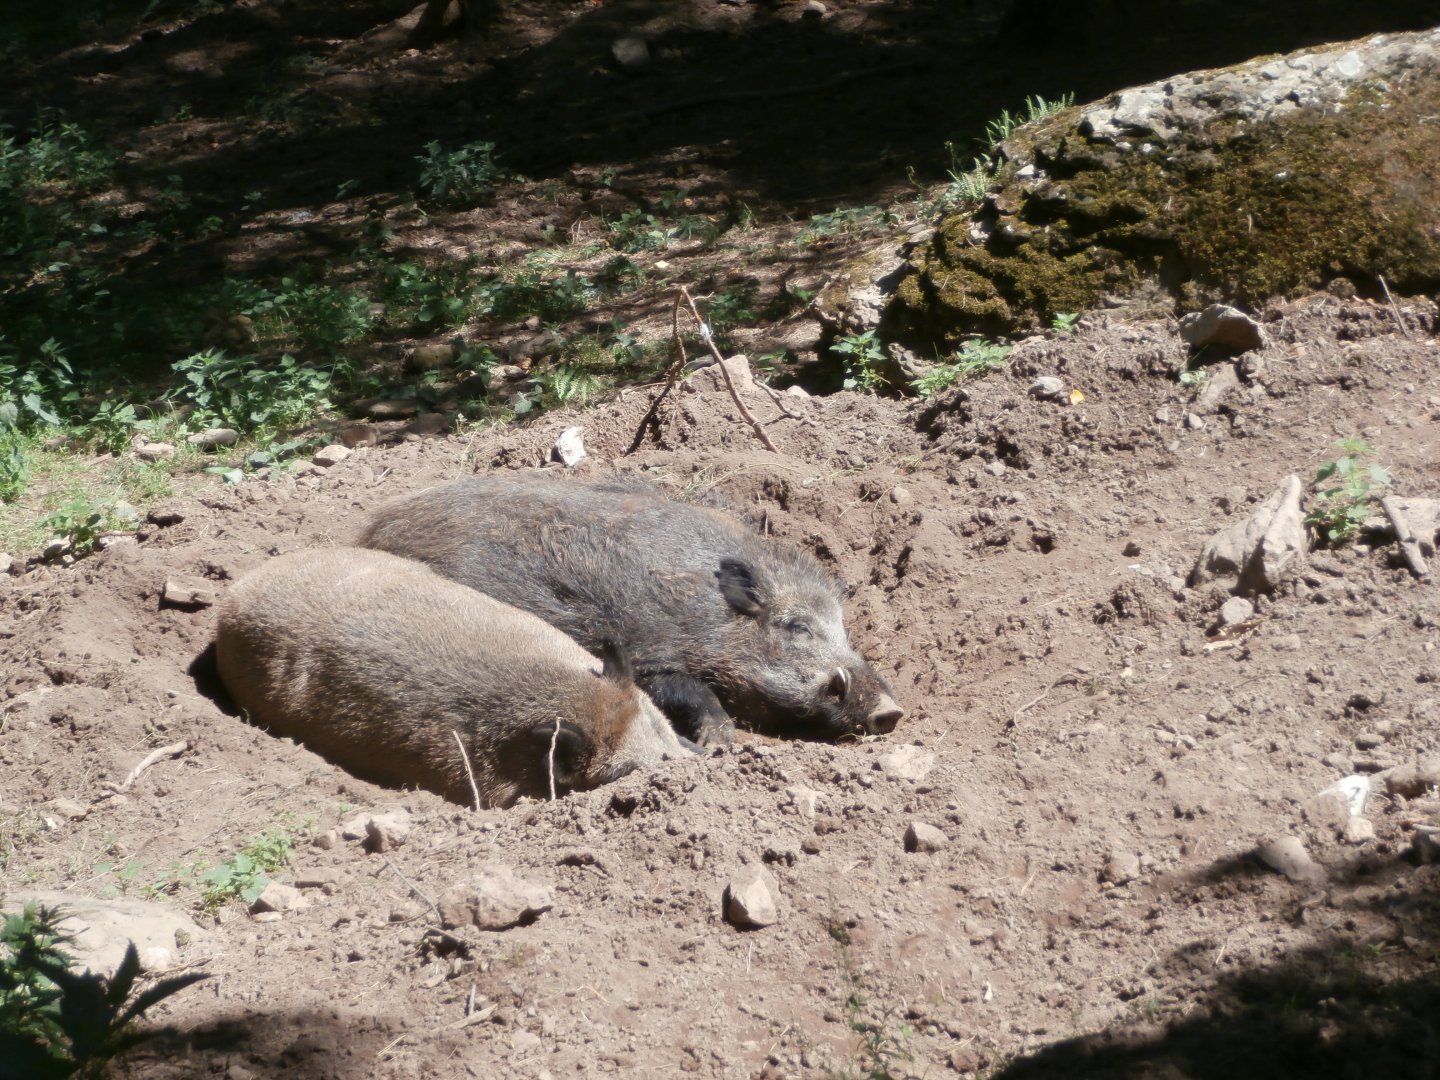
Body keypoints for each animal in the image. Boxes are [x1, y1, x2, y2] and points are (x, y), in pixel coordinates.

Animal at [359, 473, 903, 745]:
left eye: (844, 629)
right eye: (797, 627)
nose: (891, 711)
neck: (709, 618)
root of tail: (373, 526)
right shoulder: (648, 652)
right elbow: (687, 690)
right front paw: (727, 742)